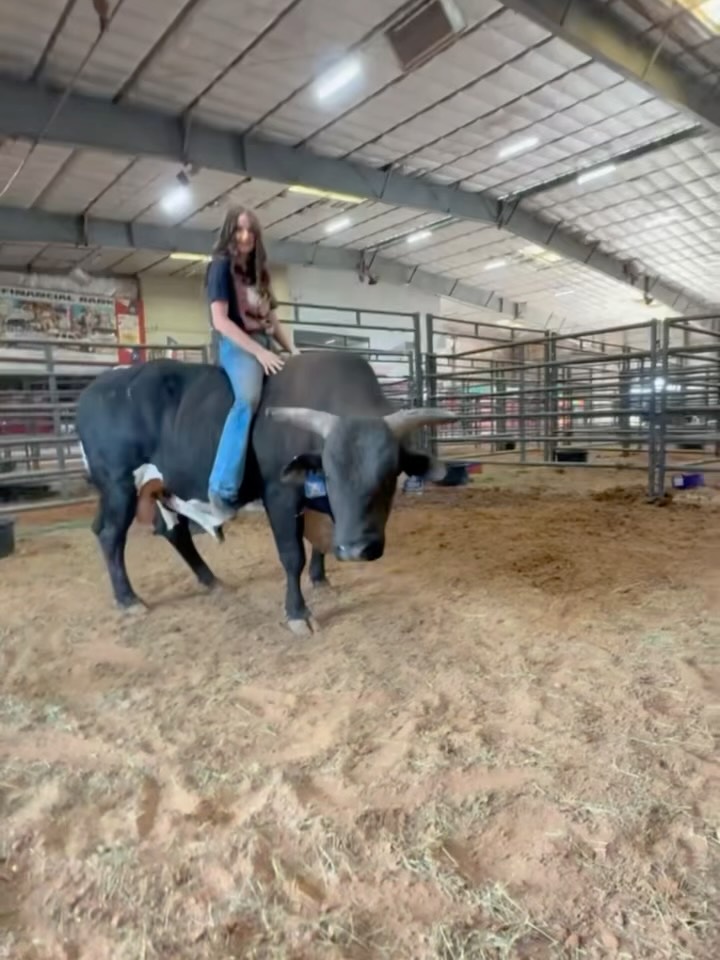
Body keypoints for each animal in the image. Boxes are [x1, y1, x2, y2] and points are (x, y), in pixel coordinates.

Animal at [75, 350, 456, 634]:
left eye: (391, 474)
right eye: (329, 473)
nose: (356, 550)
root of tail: (98, 386)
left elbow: (319, 543)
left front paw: (320, 578)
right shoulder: (281, 496)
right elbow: (292, 555)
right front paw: (298, 613)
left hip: (159, 487)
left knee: (173, 532)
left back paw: (211, 580)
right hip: (119, 485)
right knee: (110, 535)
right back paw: (129, 600)